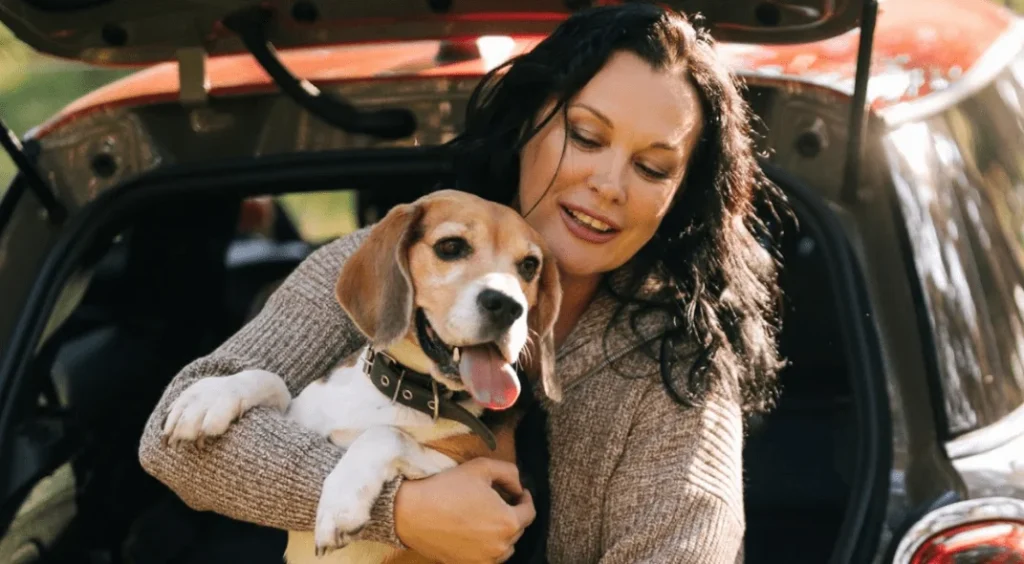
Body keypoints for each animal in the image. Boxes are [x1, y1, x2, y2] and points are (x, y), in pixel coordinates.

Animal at [161, 191, 561, 564]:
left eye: (529, 266)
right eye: (451, 247)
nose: (509, 307)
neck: (402, 390)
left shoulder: (494, 484)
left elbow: (385, 434)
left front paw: (341, 504)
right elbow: (273, 380)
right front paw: (207, 400)